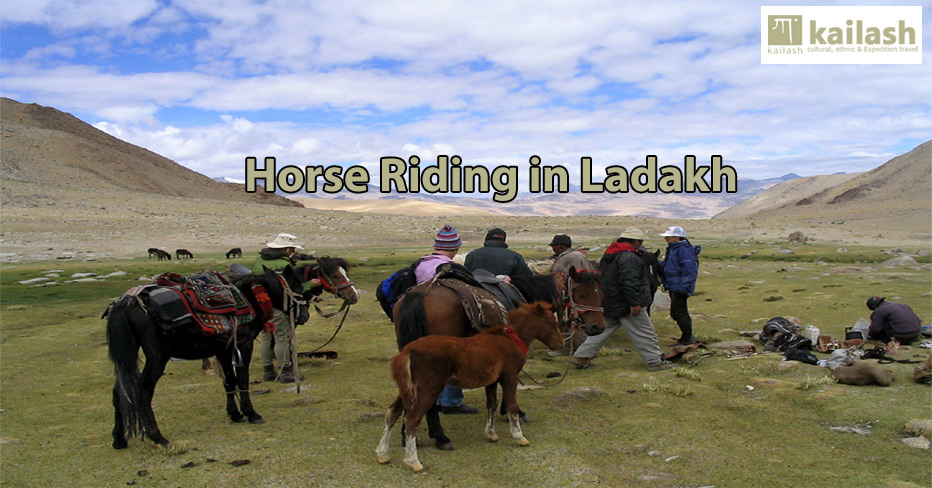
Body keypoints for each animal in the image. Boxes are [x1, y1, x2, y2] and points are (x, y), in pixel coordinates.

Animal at [105, 266, 310, 450]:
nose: (305, 316)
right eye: (298, 289)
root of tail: (125, 303)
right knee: (142, 390)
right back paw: (158, 438)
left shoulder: (224, 350)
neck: (251, 299)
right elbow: (242, 380)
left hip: (128, 355)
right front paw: (251, 414)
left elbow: (229, 381)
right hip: (157, 358)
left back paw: (119, 439)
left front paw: (235, 415)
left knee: (120, 391)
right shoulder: (244, 346)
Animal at [374, 302, 564, 472]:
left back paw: (383, 454)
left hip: (409, 389)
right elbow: (512, 407)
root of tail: (408, 351)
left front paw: (491, 434)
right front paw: (519, 437)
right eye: (551, 322)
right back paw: (413, 461)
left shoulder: (492, 381)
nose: (560, 344)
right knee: (412, 418)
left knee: (393, 412)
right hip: (428, 389)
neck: (510, 340)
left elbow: (492, 404)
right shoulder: (509, 377)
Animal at [392, 266, 604, 450]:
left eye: (600, 294)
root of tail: (419, 294)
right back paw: (440, 437)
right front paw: (515, 415)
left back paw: (407, 435)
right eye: (582, 294)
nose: (598, 327)